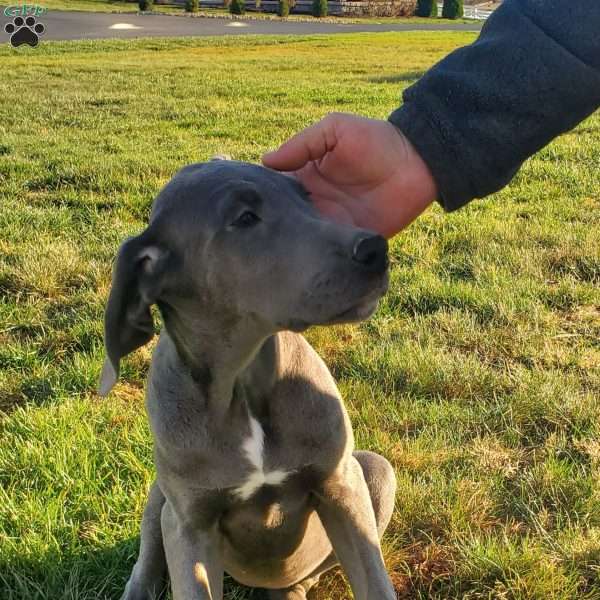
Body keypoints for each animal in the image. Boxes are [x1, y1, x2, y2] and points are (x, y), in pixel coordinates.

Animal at [99, 159, 398, 600]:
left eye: (306, 196)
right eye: (244, 218)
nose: (376, 249)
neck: (242, 382)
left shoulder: (343, 486)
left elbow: (375, 582)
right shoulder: (189, 527)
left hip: (375, 471)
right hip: (161, 499)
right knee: (148, 555)